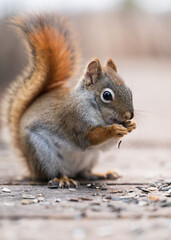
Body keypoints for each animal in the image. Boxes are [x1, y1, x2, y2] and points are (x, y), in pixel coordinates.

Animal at [0, 13, 136, 188]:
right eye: (107, 95)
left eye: (129, 90)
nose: (129, 115)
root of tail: (31, 168)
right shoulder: (74, 120)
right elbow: (88, 137)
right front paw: (113, 130)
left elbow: (104, 146)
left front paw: (131, 125)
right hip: (41, 153)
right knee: (52, 173)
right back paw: (62, 179)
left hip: (91, 157)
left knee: (83, 172)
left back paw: (102, 173)